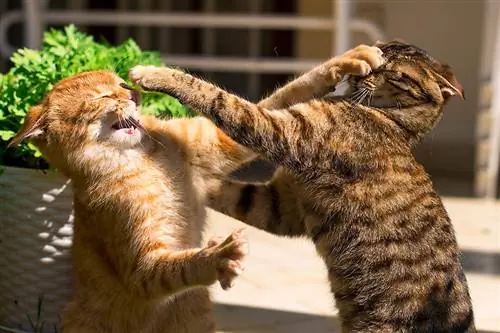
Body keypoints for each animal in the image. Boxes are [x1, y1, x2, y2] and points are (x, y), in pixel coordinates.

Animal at [130, 40, 476, 330]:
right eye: (380, 53)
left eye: (392, 72)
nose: (368, 70)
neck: (394, 123)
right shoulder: (281, 205)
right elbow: (227, 190)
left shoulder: (281, 133)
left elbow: (218, 97)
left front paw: (154, 74)